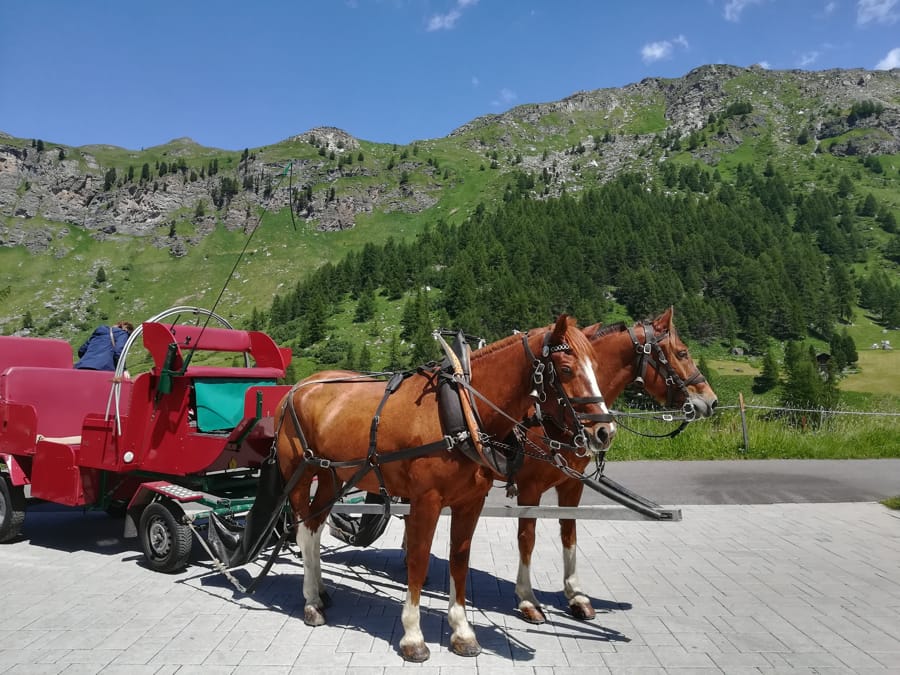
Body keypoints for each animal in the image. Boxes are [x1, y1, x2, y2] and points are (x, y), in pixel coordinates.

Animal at [274, 315, 616, 662]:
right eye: (566, 369)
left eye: (596, 366)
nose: (605, 431)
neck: (463, 413)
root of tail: (297, 389)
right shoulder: (426, 501)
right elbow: (418, 559)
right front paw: (413, 636)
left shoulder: (471, 502)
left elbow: (459, 560)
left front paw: (462, 631)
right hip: (301, 474)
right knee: (303, 532)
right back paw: (311, 602)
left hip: (332, 476)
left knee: (315, 530)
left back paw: (320, 591)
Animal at [511, 307, 718, 624]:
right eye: (682, 353)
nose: (711, 401)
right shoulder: (529, 487)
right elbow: (527, 539)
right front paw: (526, 599)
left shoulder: (572, 483)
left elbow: (569, 533)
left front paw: (576, 595)